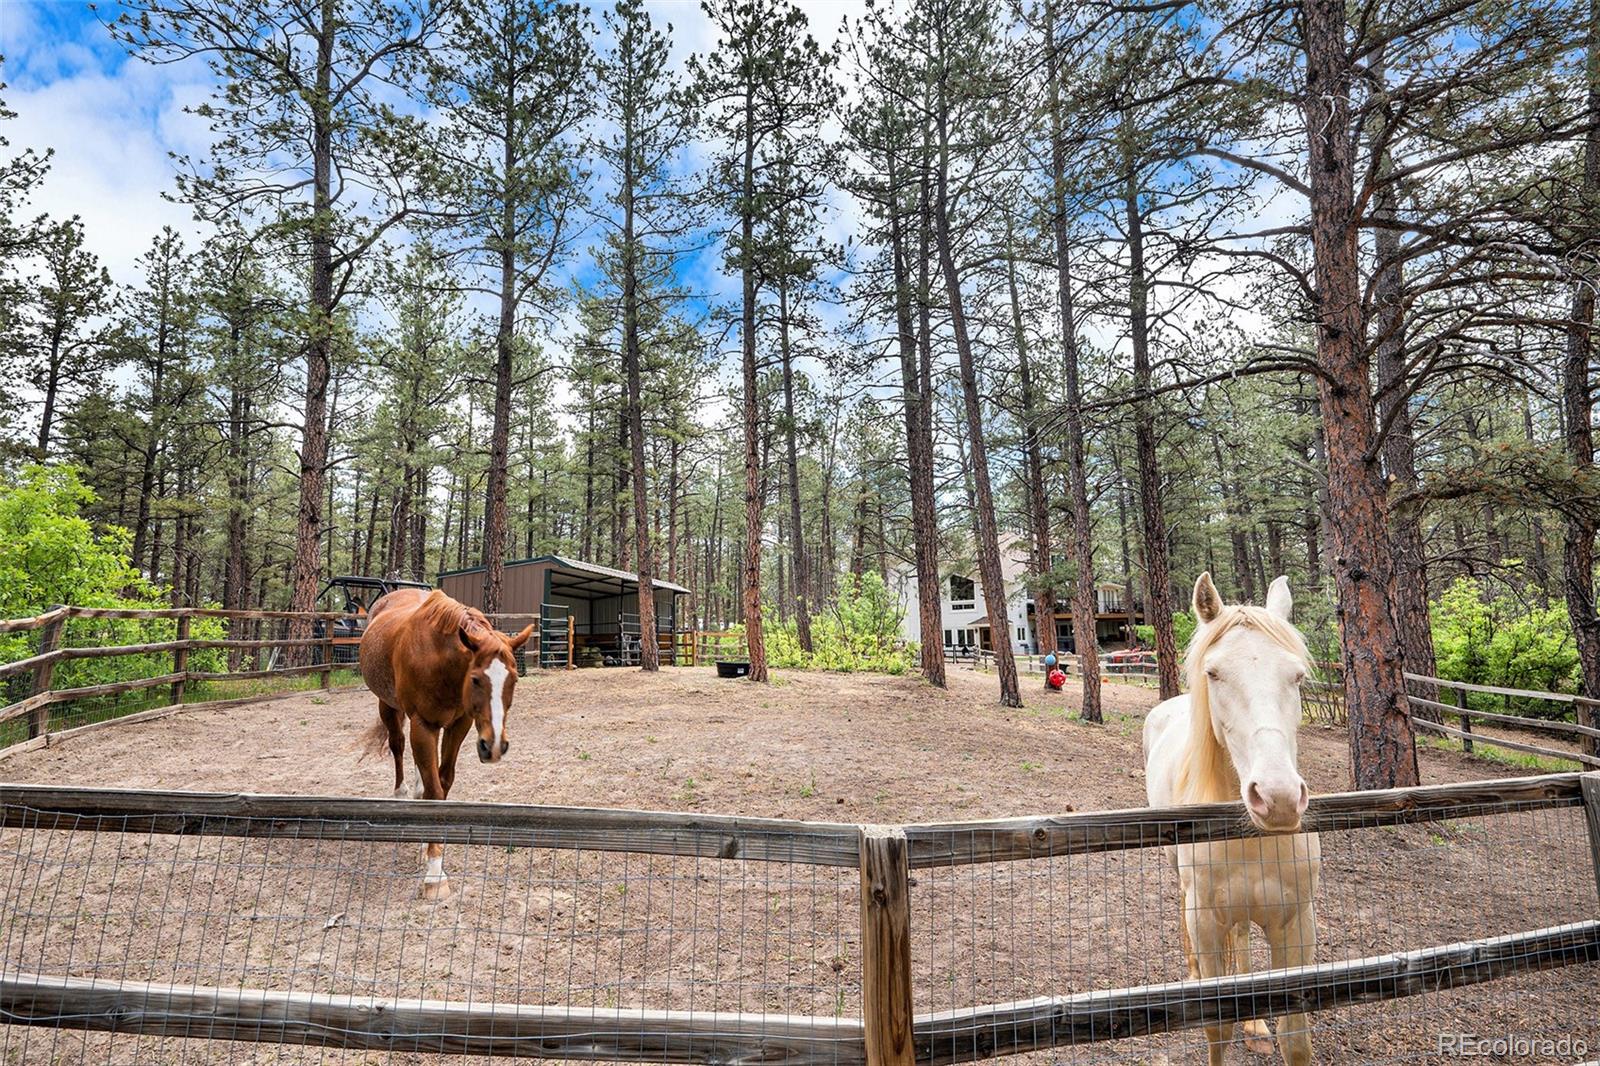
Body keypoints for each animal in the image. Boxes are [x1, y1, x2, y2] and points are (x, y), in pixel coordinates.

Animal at [360, 589, 534, 896]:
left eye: (513, 679)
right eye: (475, 679)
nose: (494, 746)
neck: (439, 660)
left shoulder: (458, 724)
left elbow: (442, 784)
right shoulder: (423, 725)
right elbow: (435, 791)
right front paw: (434, 874)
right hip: (389, 706)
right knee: (398, 746)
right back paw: (402, 794)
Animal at [1145, 573, 1318, 1062]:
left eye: (1296, 675)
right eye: (1214, 673)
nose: (1278, 798)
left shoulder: (1297, 924)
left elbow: (1295, 1036)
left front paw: (1263, 1027)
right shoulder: (1204, 921)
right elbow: (1216, 1027)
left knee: (1240, 936)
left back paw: (1255, 1025)